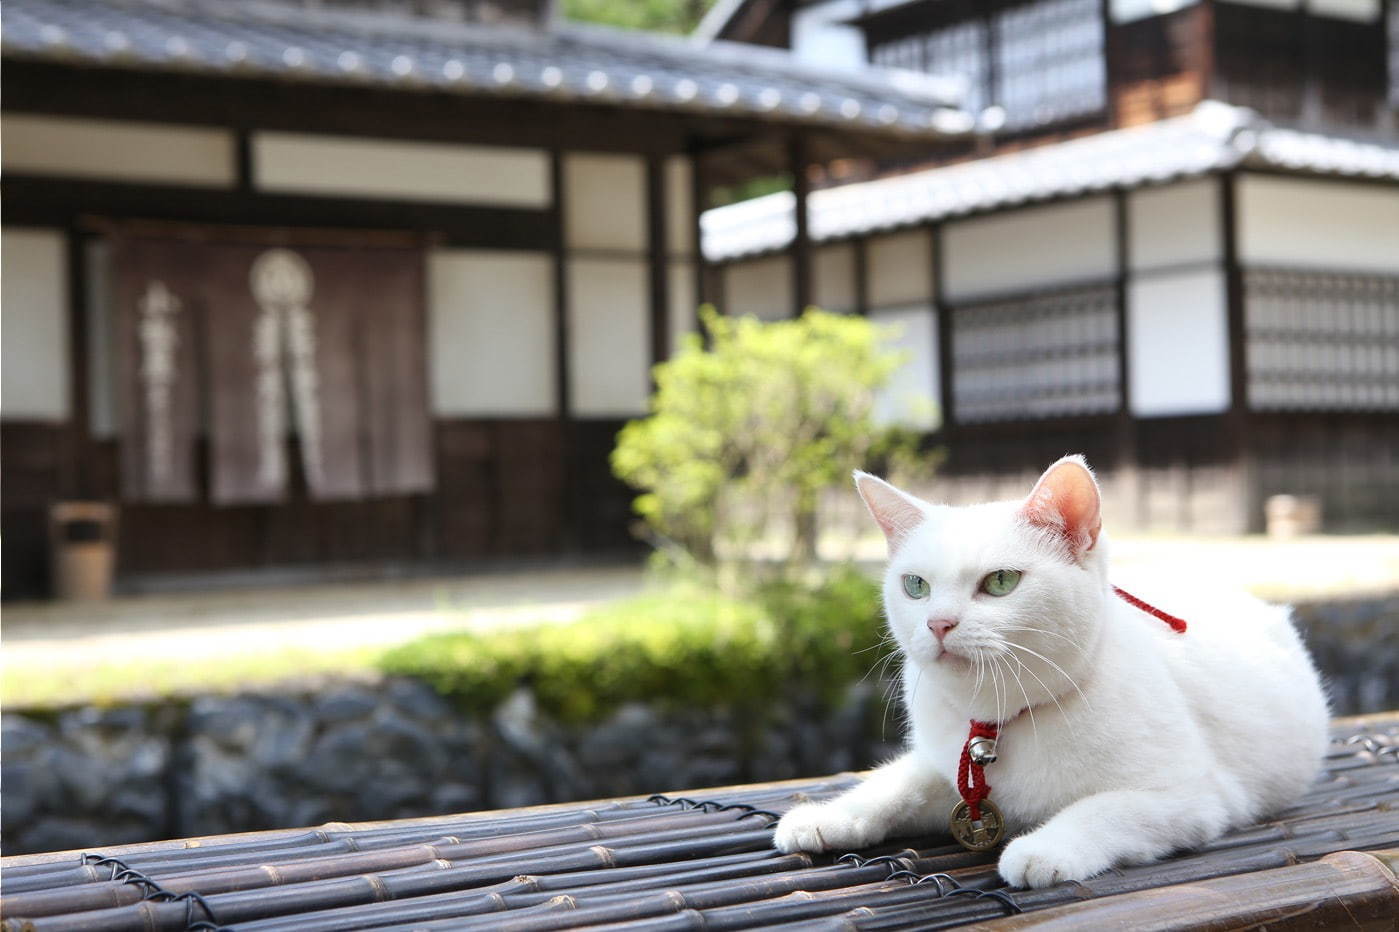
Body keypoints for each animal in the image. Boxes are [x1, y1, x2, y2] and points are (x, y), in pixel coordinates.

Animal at [777, 456, 1331, 884]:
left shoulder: (1194, 797)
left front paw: (1042, 849)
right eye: (915, 586)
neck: (1001, 718)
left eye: (1000, 582)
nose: (937, 623)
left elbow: (1103, 808)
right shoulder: (942, 763)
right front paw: (829, 816)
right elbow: (895, 785)